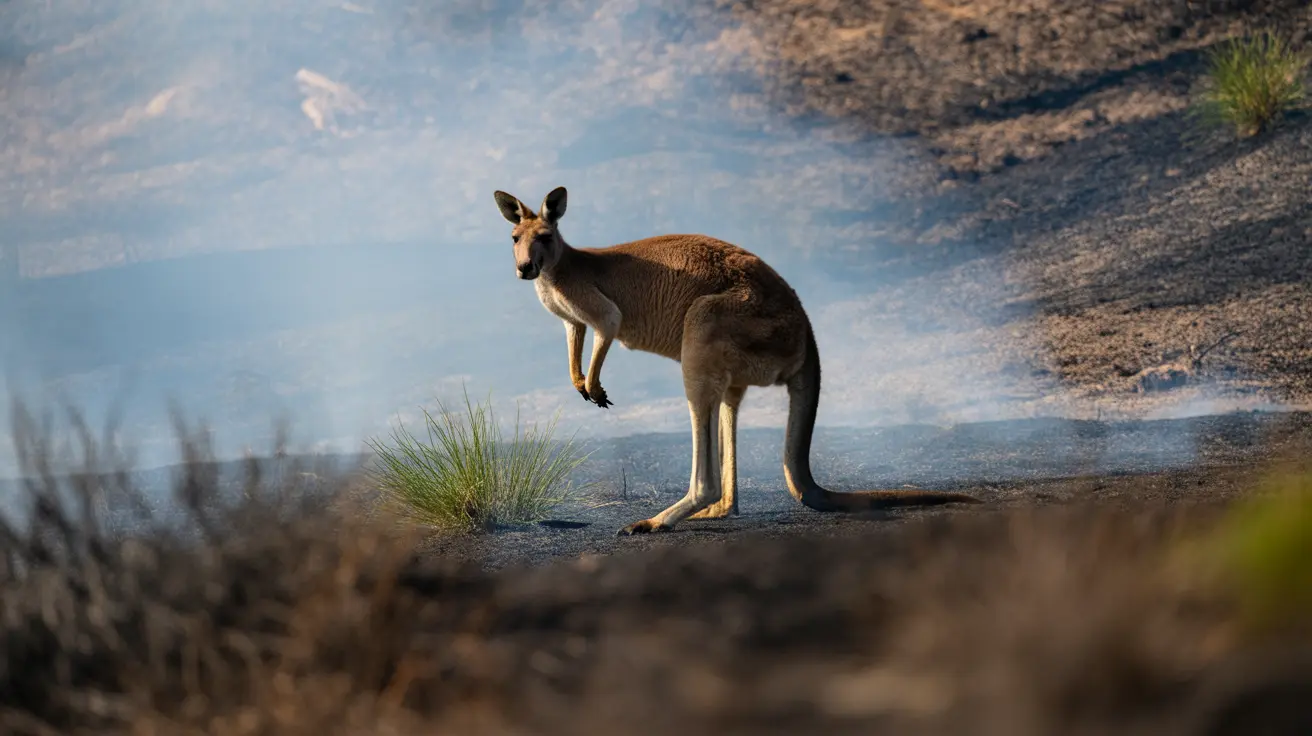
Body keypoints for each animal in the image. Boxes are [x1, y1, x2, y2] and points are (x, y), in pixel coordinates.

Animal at [492, 186, 980, 535]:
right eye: (515, 239)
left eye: (545, 237)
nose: (524, 269)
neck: (560, 269)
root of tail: (806, 336)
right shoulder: (571, 320)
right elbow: (574, 346)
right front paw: (580, 383)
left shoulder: (599, 308)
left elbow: (607, 327)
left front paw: (594, 388)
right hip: (732, 368)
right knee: (727, 418)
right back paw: (715, 511)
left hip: (711, 326)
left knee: (702, 436)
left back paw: (656, 521)